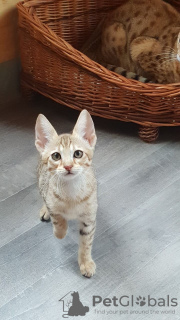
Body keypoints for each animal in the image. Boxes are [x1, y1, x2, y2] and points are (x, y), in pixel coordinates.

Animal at [34, 110, 97, 278]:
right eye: (56, 156)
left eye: (78, 153)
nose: (68, 166)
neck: (71, 190)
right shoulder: (52, 203)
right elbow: (58, 219)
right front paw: (60, 232)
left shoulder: (89, 218)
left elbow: (86, 242)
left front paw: (85, 262)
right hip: (41, 181)